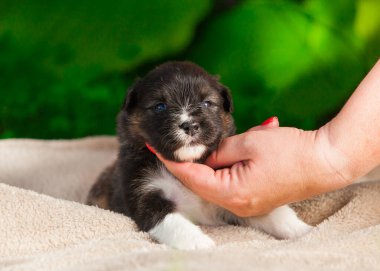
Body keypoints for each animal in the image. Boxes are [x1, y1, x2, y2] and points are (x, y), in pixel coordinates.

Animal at [87, 62, 312, 251]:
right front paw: (198, 243)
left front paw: (303, 230)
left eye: (206, 103)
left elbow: (273, 213)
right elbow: (171, 220)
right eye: (160, 106)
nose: (190, 125)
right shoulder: (144, 194)